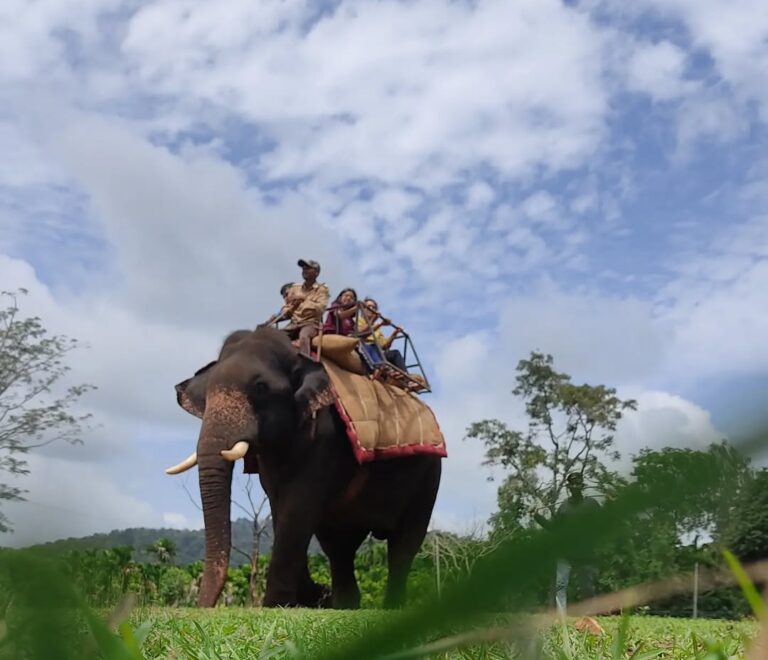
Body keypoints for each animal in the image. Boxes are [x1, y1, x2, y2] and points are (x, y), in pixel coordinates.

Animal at [166, 327, 442, 608]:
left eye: (261, 387)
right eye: (205, 395)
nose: (202, 607)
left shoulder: (324, 437)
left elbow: (297, 507)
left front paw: (276, 605)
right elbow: (281, 509)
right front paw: (305, 597)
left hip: (429, 476)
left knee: (404, 542)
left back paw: (390, 607)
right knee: (339, 547)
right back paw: (344, 604)